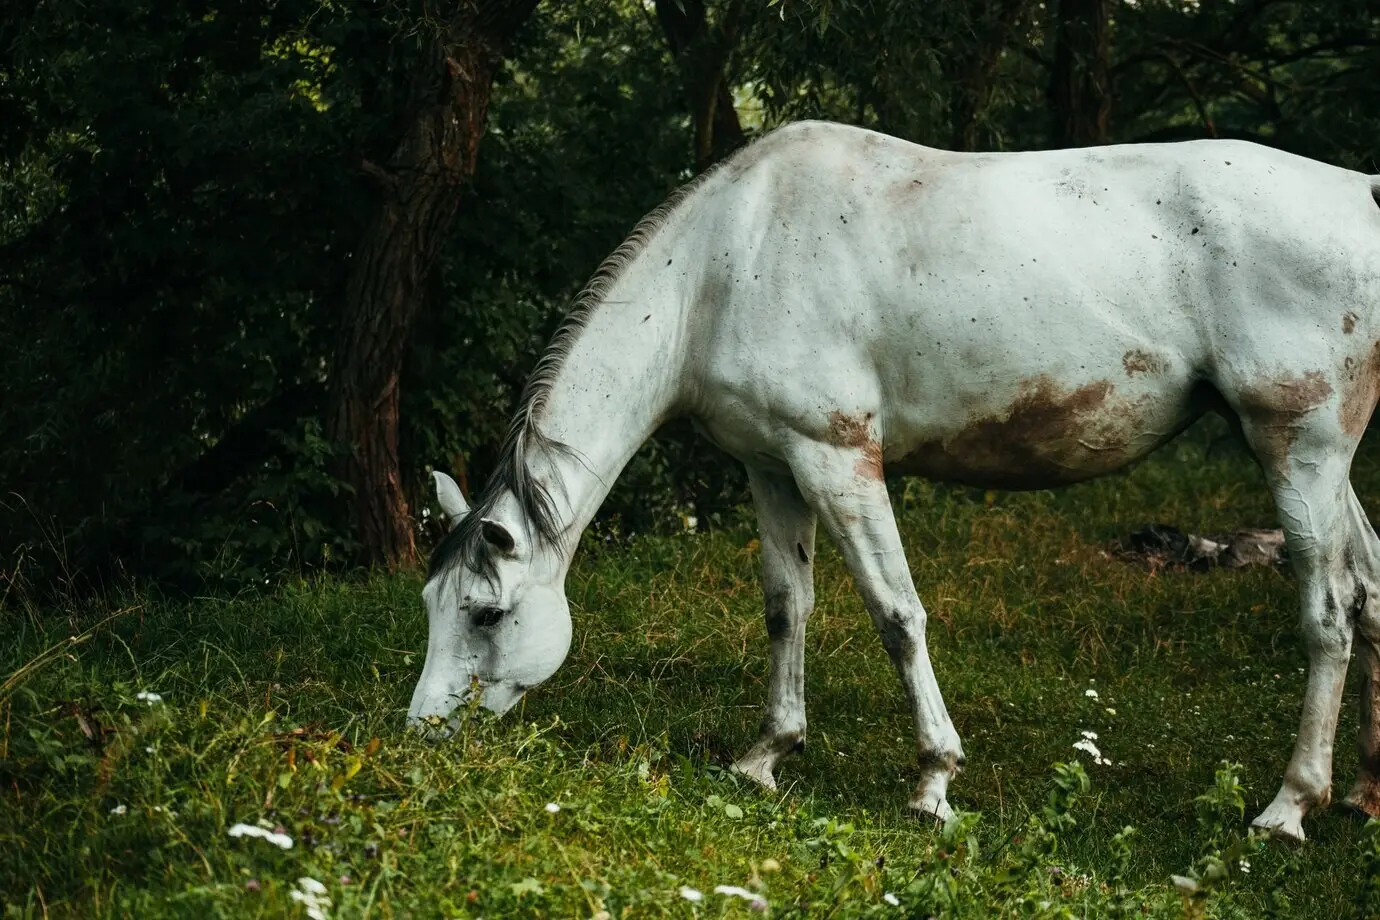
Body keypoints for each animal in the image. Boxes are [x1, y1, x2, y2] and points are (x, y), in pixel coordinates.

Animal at [408, 119, 1380, 842]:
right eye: (431, 604)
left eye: (485, 613)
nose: (419, 735)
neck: (726, 261)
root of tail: (1361, 193)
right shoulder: (774, 468)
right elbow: (786, 607)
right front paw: (766, 755)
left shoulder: (838, 460)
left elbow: (896, 613)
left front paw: (933, 784)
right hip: (1322, 466)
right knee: (1368, 587)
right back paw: (1364, 793)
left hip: (1298, 449)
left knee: (1329, 611)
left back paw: (1289, 807)